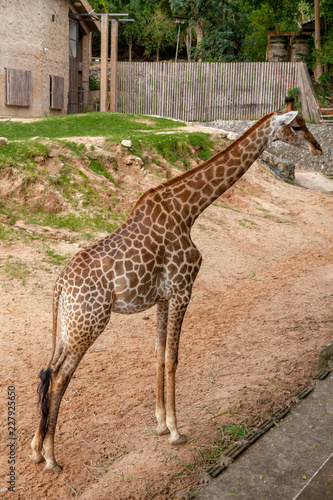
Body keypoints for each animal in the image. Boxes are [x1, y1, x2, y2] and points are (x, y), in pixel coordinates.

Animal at [29, 98, 320, 472]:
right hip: (89, 323)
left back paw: (36, 449)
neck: (189, 210)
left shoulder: (163, 297)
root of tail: (59, 286)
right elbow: (173, 358)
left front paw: (159, 423)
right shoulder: (183, 288)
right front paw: (176, 431)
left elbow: (158, 354)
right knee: (60, 377)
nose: (318, 148)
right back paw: (52, 457)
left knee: (46, 371)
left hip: (68, 324)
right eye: (297, 126)